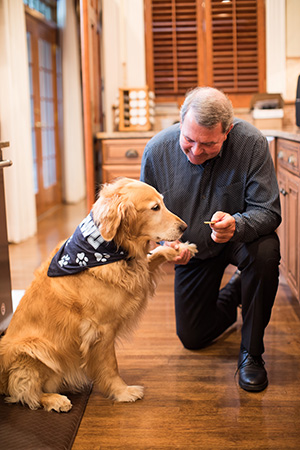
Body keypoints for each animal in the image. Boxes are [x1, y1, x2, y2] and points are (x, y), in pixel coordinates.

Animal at [0, 178, 197, 412]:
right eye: (155, 208)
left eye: (162, 203)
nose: (184, 227)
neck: (107, 248)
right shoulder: (101, 329)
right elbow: (111, 365)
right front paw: (122, 391)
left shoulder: (138, 270)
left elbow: (152, 255)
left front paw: (180, 249)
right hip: (35, 349)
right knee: (24, 392)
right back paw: (55, 400)